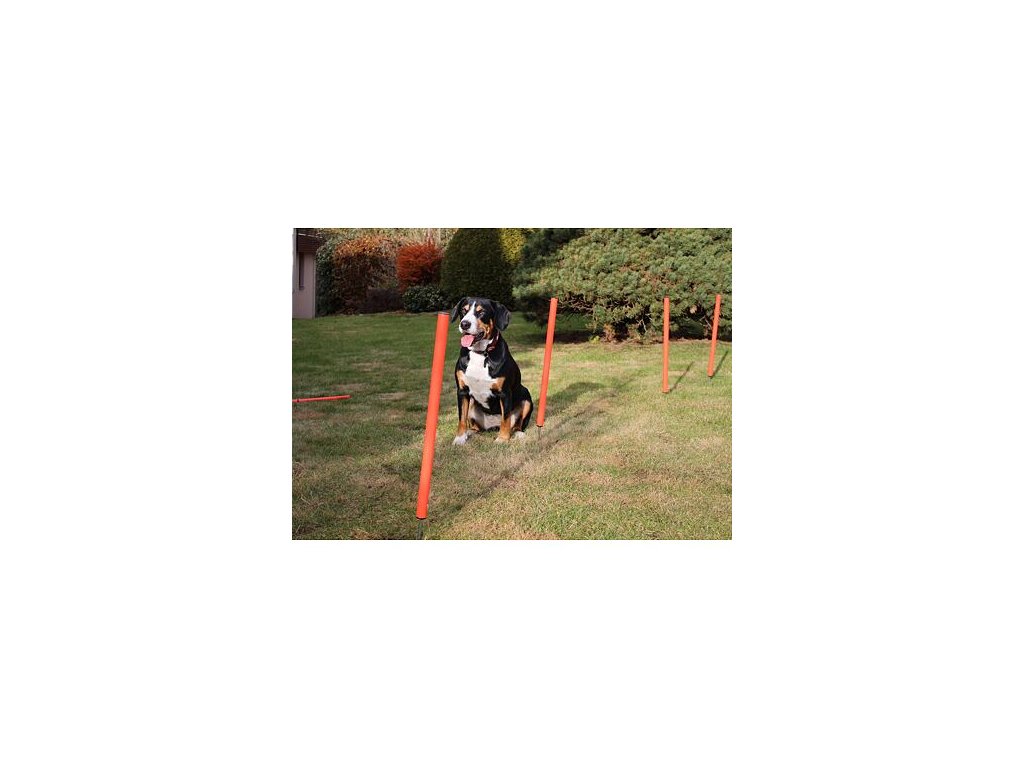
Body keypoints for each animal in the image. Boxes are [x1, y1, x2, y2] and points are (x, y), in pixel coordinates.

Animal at [450, 297, 533, 444]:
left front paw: (502, 439)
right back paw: (470, 432)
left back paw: (518, 434)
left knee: (516, 425)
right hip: (472, 404)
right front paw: (460, 438)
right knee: (476, 426)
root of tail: (493, 425)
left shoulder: (505, 393)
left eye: (481, 312)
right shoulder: (462, 391)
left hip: (526, 397)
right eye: (463, 311)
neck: (480, 353)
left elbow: (506, 418)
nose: (464, 324)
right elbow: (461, 418)